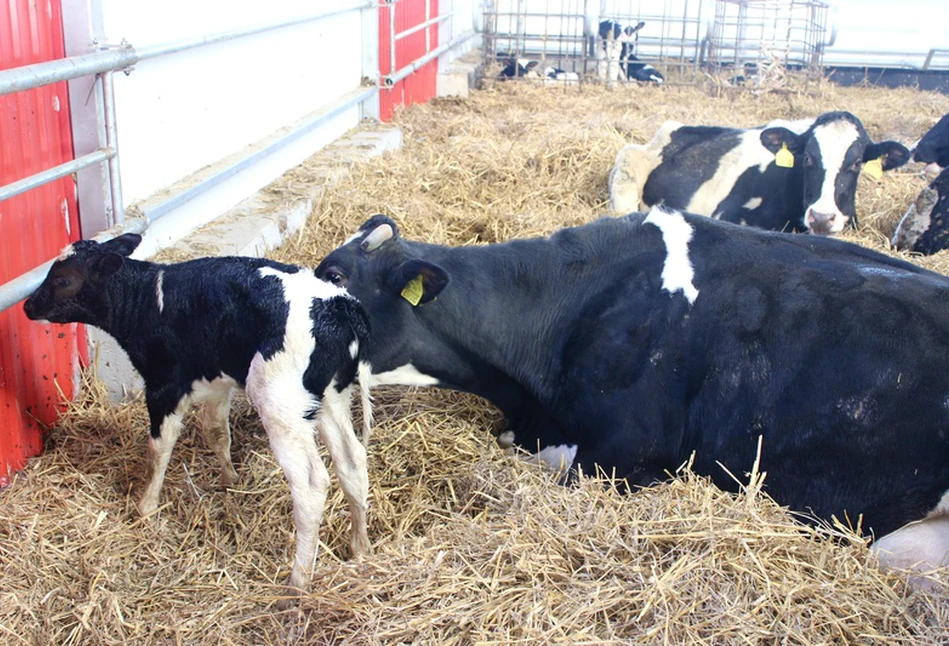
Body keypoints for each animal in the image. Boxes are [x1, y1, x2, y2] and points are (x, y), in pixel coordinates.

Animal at [24, 234, 372, 604]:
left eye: (63, 280)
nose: (28, 306)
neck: (149, 301)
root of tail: (339, 306)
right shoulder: (215, 380)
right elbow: (216, 432)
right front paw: (230, 479)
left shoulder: (163, 385)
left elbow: (159, 449)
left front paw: (145, 507)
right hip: (331, 396)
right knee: (352, 460)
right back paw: (359, 546)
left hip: (281, 405)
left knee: (311, 483)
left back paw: (297, 582)